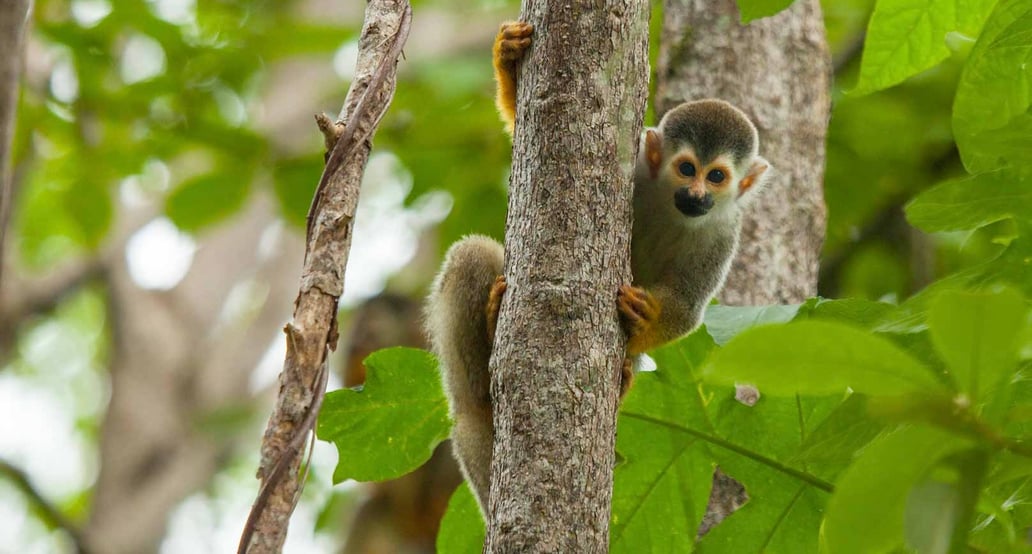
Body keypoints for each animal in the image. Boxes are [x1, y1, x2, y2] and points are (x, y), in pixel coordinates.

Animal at [423, 20, 771, 513]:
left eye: (717, 176)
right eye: (687, 169)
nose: (697, 195)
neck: (671, 207)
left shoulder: (723, 234)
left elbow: (686, 309)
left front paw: (645, 318)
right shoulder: (637, 169)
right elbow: (521, 141)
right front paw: (508, 60)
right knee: (471, 259)